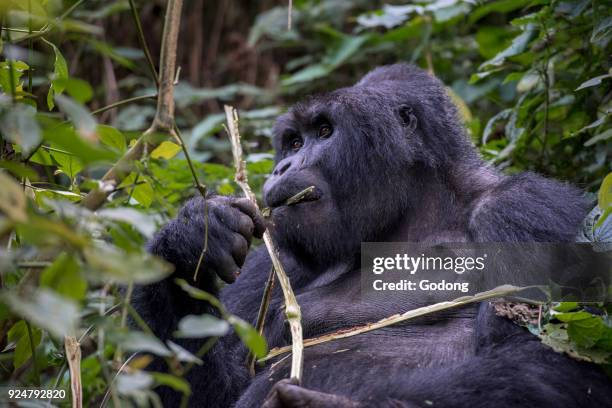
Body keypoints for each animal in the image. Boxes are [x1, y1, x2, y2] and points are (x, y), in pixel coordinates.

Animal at [131, 65, 608, 406]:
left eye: (324, 132)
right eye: (292, 142)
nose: (281, 167)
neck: (413, 213)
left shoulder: (524, 210)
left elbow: (549, 359)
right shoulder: (273, 259)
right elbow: (209, 390)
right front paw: (190, 238)